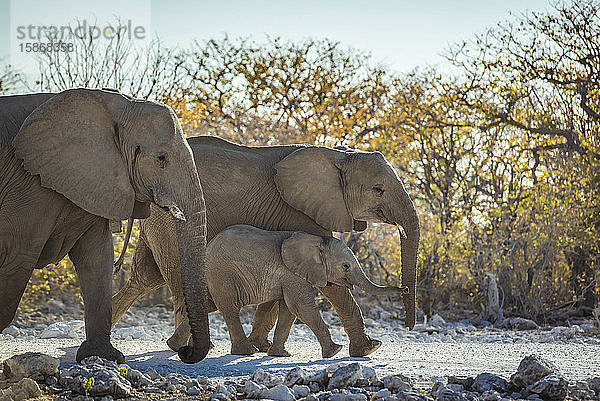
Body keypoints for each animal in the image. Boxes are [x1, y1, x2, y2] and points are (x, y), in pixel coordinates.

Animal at [0, 89, 210, 364]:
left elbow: (97, 257)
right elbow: (17, 259)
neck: (117, 106)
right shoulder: (28, 187)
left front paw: (103, 357)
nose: (185, 352)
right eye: (161, 159)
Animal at [206, 223, 408, 358]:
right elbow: (301, 307)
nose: (405, 288)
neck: (317, 241)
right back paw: (246, 352)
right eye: (345, 266)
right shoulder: (290, 272)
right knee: (230, 309)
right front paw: (335, 351)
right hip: (222, 275)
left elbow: (288, 310)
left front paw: (280, 354)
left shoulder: (290, 275)